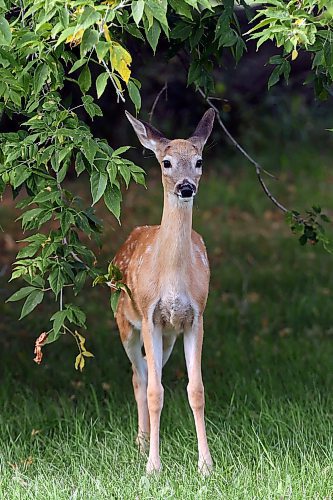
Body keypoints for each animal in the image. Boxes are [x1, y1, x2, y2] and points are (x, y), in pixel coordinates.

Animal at [112, 107, 215, 474]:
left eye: (199, 161)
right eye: (167, 162)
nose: (186, 187)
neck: (171, 277)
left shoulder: (195, 316)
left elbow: (196, 390)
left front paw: (205, 465)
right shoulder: (150, 315)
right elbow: (156, 393)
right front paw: (153, 468)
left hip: (168, 336)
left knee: (144, 369)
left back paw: (144, 441)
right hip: (126, 322)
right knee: (139, 377)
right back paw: (141, 444)